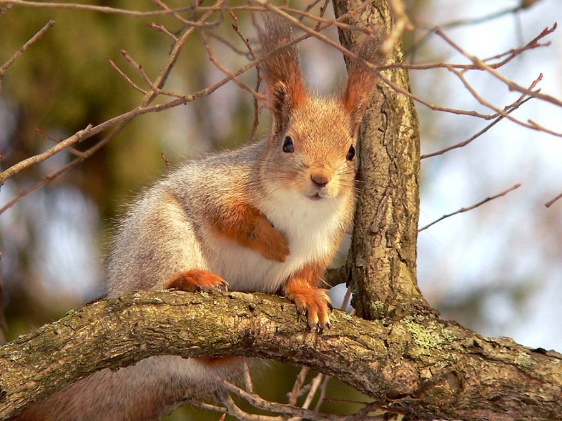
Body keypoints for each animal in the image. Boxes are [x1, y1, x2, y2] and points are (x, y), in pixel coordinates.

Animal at [16, 13, 384, 420]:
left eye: (351, 152)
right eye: (287, 143)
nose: (321, 179)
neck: (301, 209)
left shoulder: (325, 242)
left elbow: (303, 274)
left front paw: (308, 295)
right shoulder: (217, 187)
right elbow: (227, 214)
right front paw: (271, 241)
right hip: (161, 238)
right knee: (157, 283)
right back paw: (191, 279)